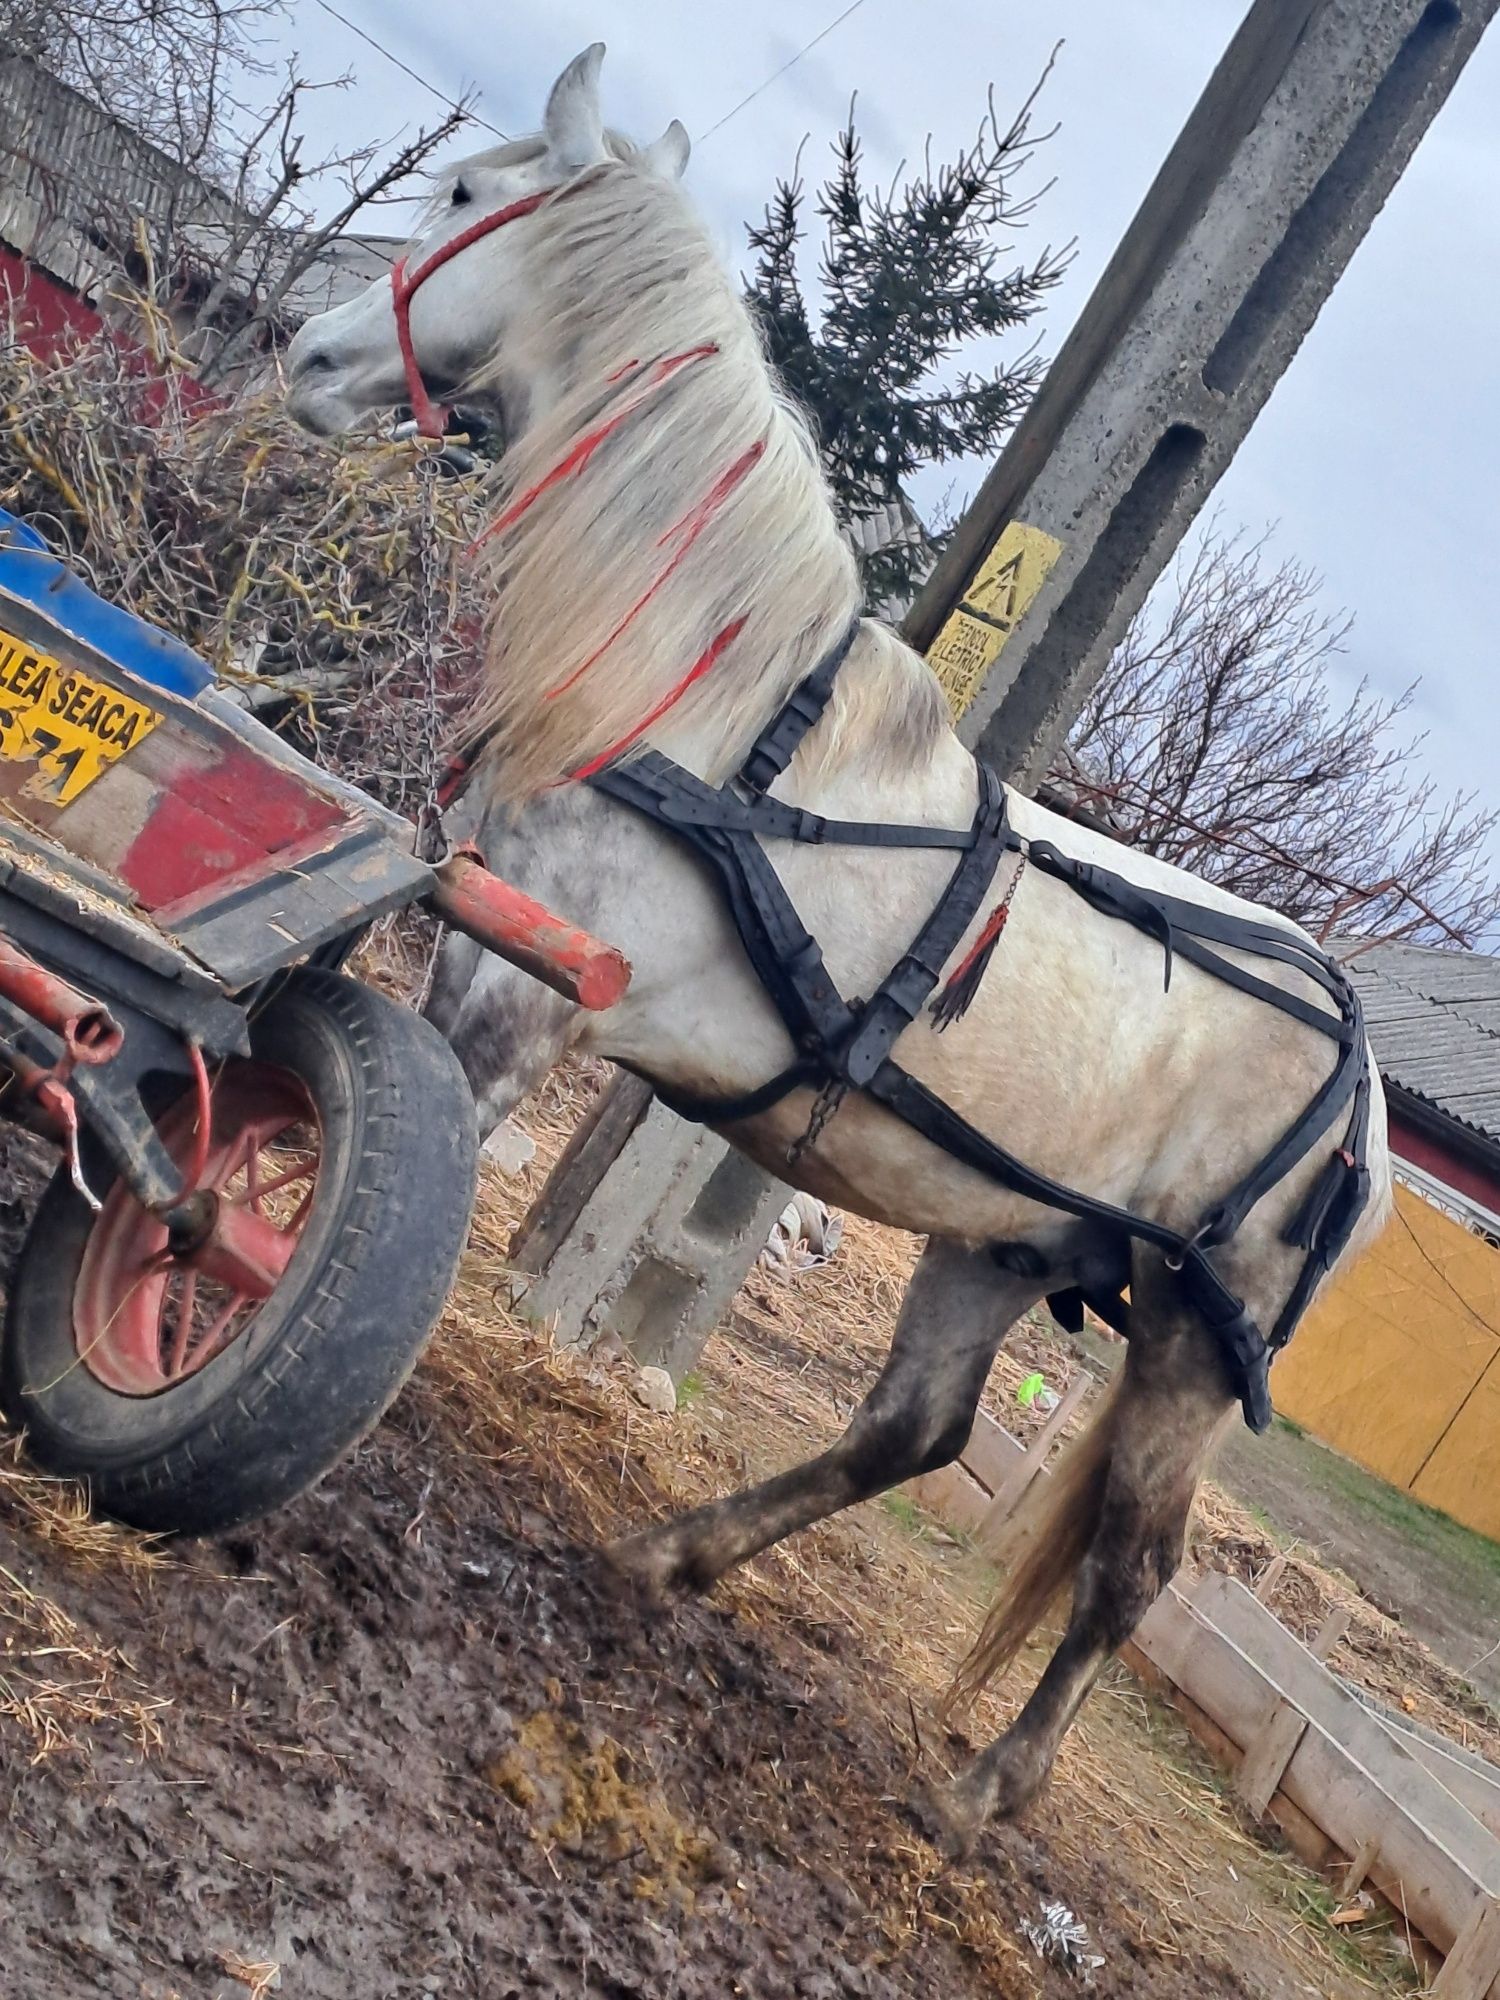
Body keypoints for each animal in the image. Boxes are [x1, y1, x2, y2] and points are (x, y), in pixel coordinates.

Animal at [284, 47, 1400, 1848]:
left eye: (461, 195)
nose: (305, 351)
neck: (717, 710)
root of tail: (1361, 1077)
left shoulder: (523, 993)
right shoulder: (476, 919)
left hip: (1184, 1335)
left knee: (1132, 1569)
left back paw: (988, 1793)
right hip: (998, 1241)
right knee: (917, 1430)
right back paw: (675, 1552)